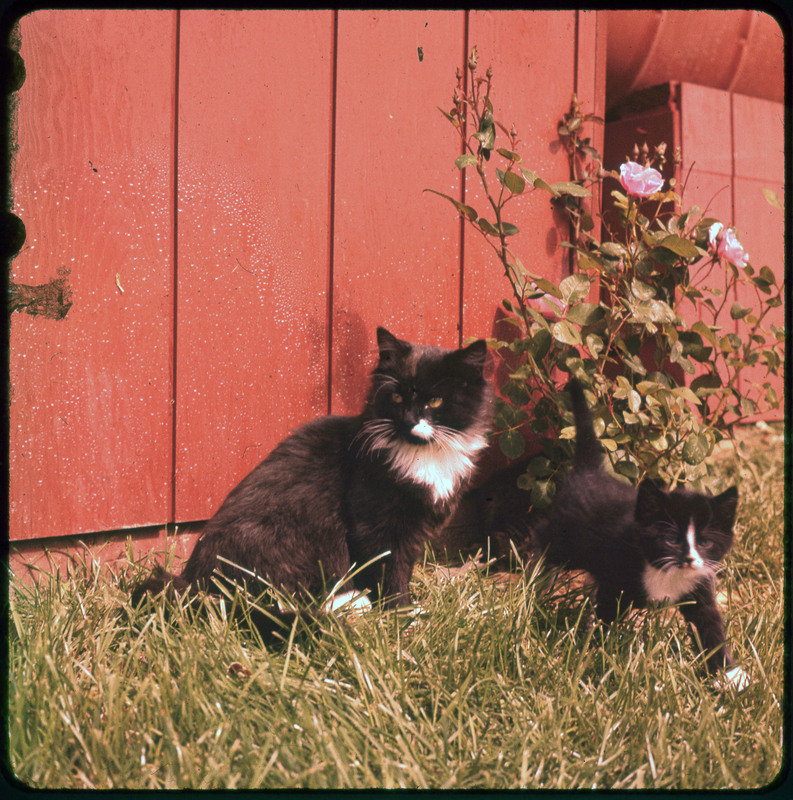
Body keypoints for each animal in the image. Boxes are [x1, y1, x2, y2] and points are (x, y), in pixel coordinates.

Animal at [133, 328, 492, 628]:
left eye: (435, 400)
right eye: (397, 398)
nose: (408, 419)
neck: (423, 454)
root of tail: (195, 583)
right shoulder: (377, 528)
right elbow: (391, 575)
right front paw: (403, 617)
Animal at [532, 380, 748, 688]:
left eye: (705, 542)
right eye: (671, 540)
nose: (690, 559)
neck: (667, 574)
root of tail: (590, 472)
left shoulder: (699, 587)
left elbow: (710, 627)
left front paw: (728, 674)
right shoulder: (613, 583)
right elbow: (605, 619)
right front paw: (597, 658)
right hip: (566, 541)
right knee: (542, 537)